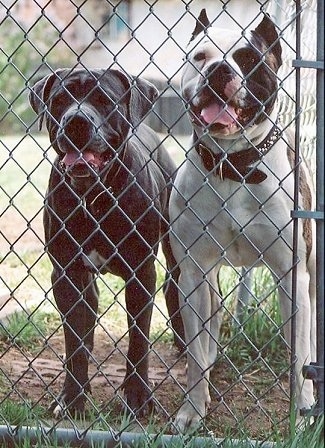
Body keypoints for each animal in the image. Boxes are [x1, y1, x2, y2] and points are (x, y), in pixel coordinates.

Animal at [168, 9, 316, 430]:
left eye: (248, 58)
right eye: (199, 56)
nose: (219, 69)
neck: (233, 166)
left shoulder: (292, 275)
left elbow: (299, 355)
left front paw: (302, 414)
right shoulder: (192, 273)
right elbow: (194, 353)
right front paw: (192, 410)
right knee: (211, 323)